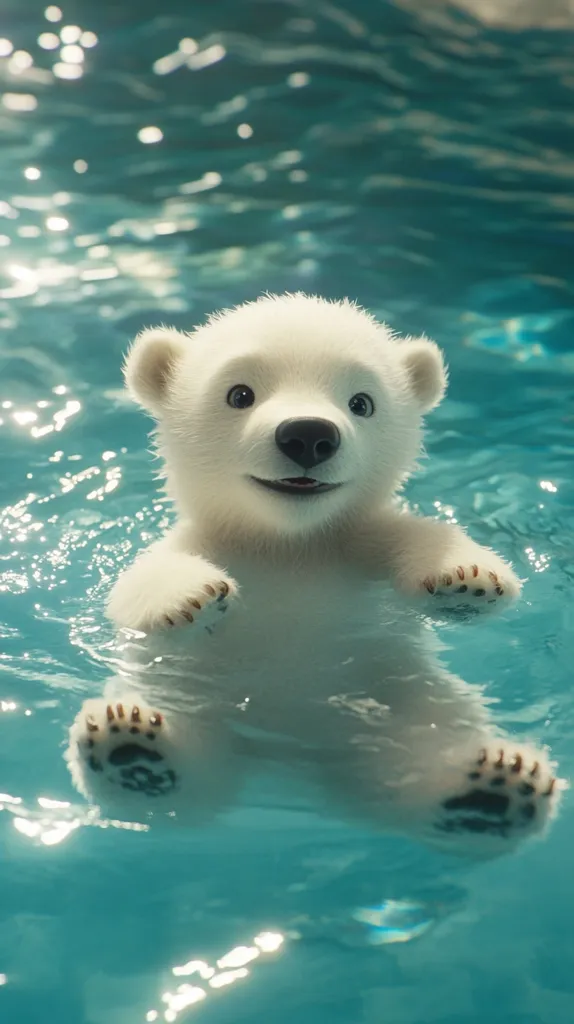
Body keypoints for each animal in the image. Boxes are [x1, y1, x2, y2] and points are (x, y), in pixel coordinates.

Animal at [66, 292, 563, 857]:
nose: (308, 435)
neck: (288, 545)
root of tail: (290, 767)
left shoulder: (351, 544)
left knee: (413, 759)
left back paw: (493, 791)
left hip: (401, 696)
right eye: (240, 393)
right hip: (193, 698)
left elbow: (415, 536)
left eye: (362, 402)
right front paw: (192, 597)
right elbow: (139, 586)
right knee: (193, 784)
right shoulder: (204, 544)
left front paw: (468, 579)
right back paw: (134, 752)